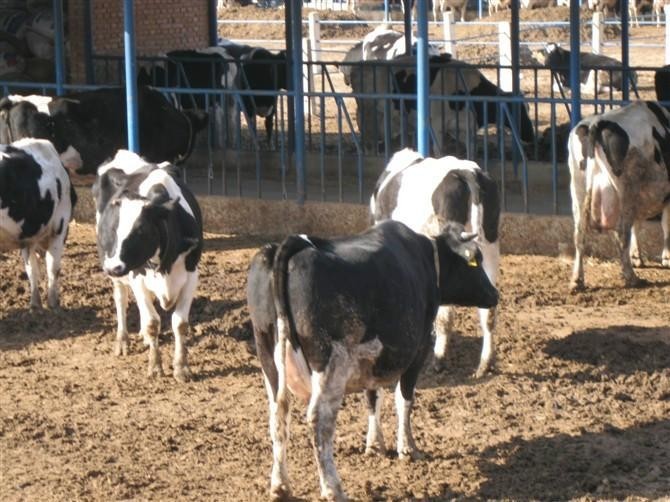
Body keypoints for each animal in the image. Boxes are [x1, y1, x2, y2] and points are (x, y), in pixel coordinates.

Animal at [92, 150, 204, 381]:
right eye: (113, 229)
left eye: (141, 230)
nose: (113, 267)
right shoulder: (136, 276)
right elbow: (153, 322)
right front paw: (155, 366)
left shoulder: (191, 275)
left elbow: (180, 323)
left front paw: (181, 367)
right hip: (119, 277)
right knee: (121, 300)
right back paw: (123, 340)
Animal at [247, 220, 498, 501]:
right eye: (475, 260)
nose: (494, 294)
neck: (426, 258)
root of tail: (291, 243)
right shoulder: (419, 350)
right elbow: (404, 399)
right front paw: (407, 448)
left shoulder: (373, 359)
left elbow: (372, 397)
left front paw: (375, 443)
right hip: (331, 364)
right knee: (319, 420)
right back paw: (332, 488)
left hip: (267, 355)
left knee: (278, 415)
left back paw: (280, 485)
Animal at [369, 148, 500, 377]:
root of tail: (466, 171)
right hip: (490, 246)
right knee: (489, 312)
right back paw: (484, 364)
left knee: (446, 316)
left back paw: (439, 360)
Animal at [567, 100, 670, 291]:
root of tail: (596, 123)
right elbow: (665, 224)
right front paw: (666, 257)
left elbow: (640, 224)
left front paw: (637, 256)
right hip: (626, 190)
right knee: (622, 233)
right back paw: (632, 278)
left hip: (578, 188)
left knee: (579, 234)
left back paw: (577, 280)